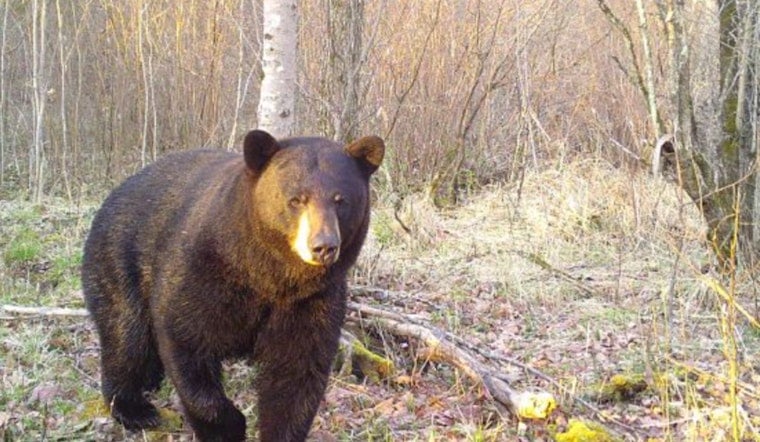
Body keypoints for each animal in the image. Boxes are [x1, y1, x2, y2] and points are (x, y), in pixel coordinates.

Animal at [81, 129, 384, 441]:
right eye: (296, 199)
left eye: (341, 200)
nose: (323, 246)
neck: (271, 276)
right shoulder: (203, 269)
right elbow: (185, 336)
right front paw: (228, 426)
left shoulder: (312, 300)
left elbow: (296, 373)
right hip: (118, 258)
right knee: (125, 334)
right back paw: (133, 407)